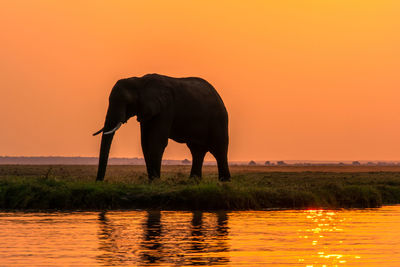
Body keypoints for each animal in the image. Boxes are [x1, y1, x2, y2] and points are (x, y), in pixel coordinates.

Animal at [93, 73, 230, 182]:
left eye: (126, 102)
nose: (99, 182)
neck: (140, 81)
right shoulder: (146, 111)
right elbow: (145, 143)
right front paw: (151, 181)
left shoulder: (165, 107)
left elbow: (156, 141)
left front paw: (155, 181)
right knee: (197, 150)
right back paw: (194, 181)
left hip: (219, 119)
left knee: (219, 149)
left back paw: (224, 181)